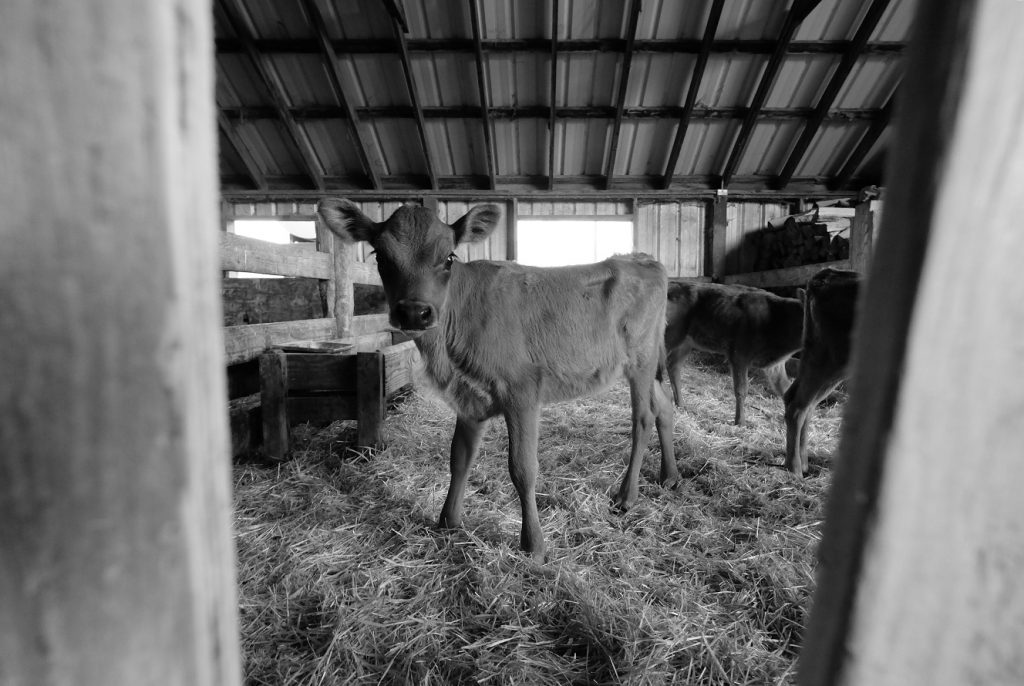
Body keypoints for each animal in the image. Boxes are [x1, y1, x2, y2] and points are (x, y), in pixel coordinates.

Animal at [663, 282, 806, 427]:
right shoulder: (739, 355)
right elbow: (741, 390)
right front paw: (740, 422)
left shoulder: (775, 365)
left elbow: (785, 389)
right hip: (670, 337)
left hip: (685, 342)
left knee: (673, 366)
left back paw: (680, 404)